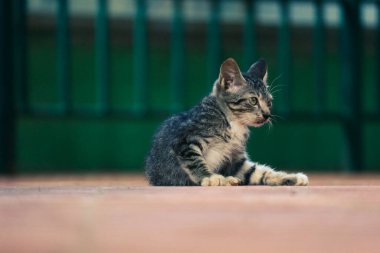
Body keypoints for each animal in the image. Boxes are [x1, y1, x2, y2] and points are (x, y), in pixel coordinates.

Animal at [145, 58, 308, 186]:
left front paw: (289, 177)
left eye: (269, 102)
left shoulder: (236, 160)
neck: (232, 122)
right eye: (253, 100)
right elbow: (195, 161)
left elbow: (258, 172)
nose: (267, 115)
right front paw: (209, 177)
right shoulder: (184, 142)